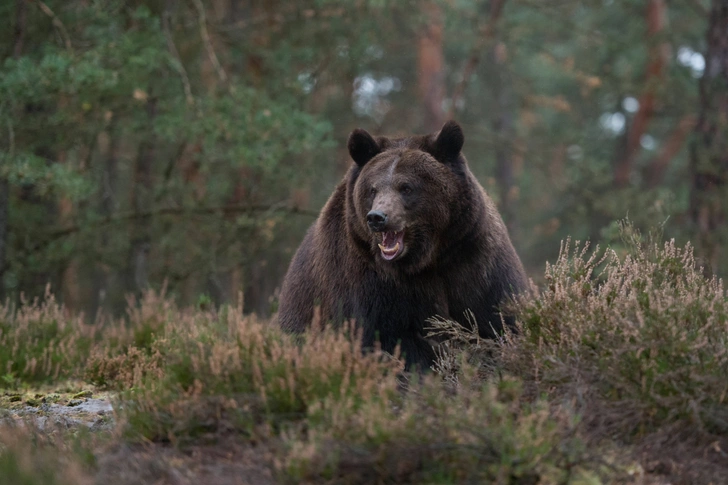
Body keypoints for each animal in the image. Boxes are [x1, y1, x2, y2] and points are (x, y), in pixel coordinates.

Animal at [276, 120, 528, 366]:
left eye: (406, 187)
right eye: (373, 189)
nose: (377, 217)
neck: (427, 258)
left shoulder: (473, 260)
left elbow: (499, 317)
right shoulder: (370, 281)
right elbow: (391, 340)